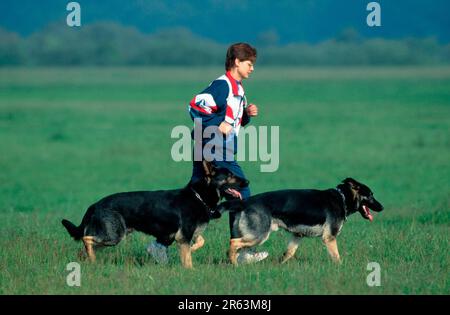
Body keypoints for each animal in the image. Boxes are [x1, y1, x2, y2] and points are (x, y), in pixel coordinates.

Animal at [60, 163, 246, 270]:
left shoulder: (188, 235)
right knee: (86, 239)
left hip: (110, 237)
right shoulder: (184, 236)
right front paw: (190, 270)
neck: (198, 196)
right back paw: (91, 260)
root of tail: (95, 205)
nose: (248, 182)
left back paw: (89, 261)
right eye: (229, 176)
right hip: (114, 235)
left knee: (87, 245)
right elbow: (187, 259)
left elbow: (199, 242)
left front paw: (193, 250)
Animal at [215, 179, 384, 266]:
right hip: (259, 235)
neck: (342, 198)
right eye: (370, 195)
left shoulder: (297, 235)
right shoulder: (329, 238)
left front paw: (278, 266)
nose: (382, 207)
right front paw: (341, 268)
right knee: (233, 243)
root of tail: (245, 202)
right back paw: (234, 263)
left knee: (237, 246)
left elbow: (288, 253)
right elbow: (336, 257)